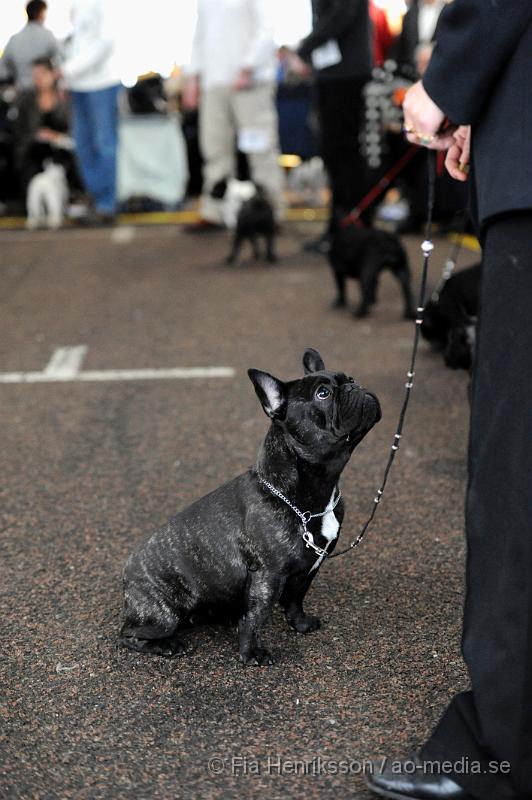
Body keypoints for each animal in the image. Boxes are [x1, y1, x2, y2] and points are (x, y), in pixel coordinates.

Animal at [119, 346, 382, 664]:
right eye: (323, 393)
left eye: (350, 378)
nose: (355, 386)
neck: (311, 496)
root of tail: (127, 576)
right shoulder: (267, 577)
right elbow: (256, 618)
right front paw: (251, 652)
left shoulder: (309, 568)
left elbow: (296, 600)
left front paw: (300, 624)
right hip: (164, 615)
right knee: (129, 634)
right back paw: (167, 645)